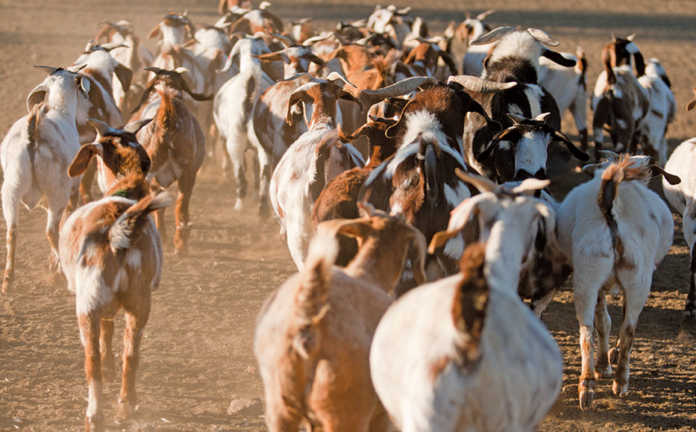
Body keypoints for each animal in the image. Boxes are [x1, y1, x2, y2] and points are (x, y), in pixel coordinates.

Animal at [1, 66, 93, 293]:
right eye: (82, 90)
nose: (89, 108)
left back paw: (8, 280)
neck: (59, 110)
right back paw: (61, 273)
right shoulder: (72, 190)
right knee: (51, 231)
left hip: (11, 190)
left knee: (12, 231)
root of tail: (34, 133)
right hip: (57, 192)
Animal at [557, 154, 679, 409]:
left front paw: (603, 365)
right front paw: (607, 363)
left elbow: (603, 321)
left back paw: (587, 386)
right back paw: (620, 382)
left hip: (587, 276)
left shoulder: (599, 287)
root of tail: (611, 211)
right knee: (629, 329)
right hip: (638, 281)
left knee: (587, 330)